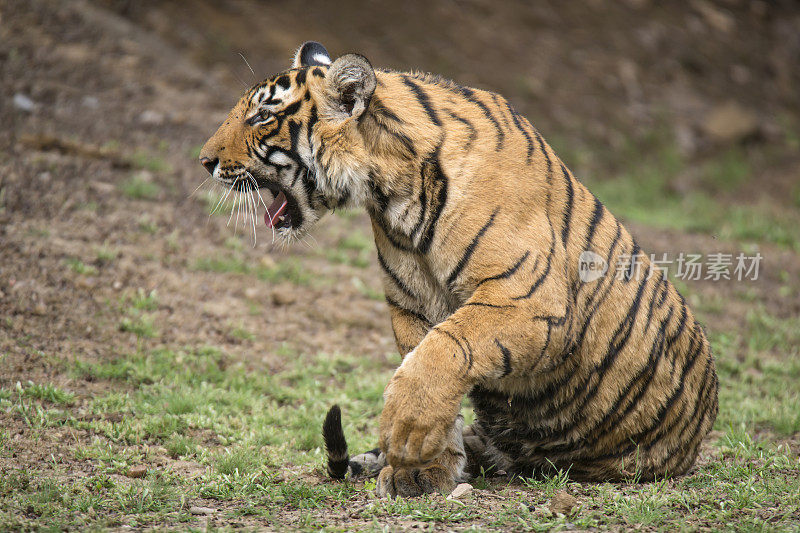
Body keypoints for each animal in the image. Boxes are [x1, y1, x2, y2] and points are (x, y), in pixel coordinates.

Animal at [198, 42, 720, 498]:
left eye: (261, 116)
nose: (205, 161)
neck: (391, 190)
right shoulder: (412, 305)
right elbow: (427, 363)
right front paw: (421, 470)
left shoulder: (526, 298)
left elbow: (442, 354)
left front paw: (406, 432)